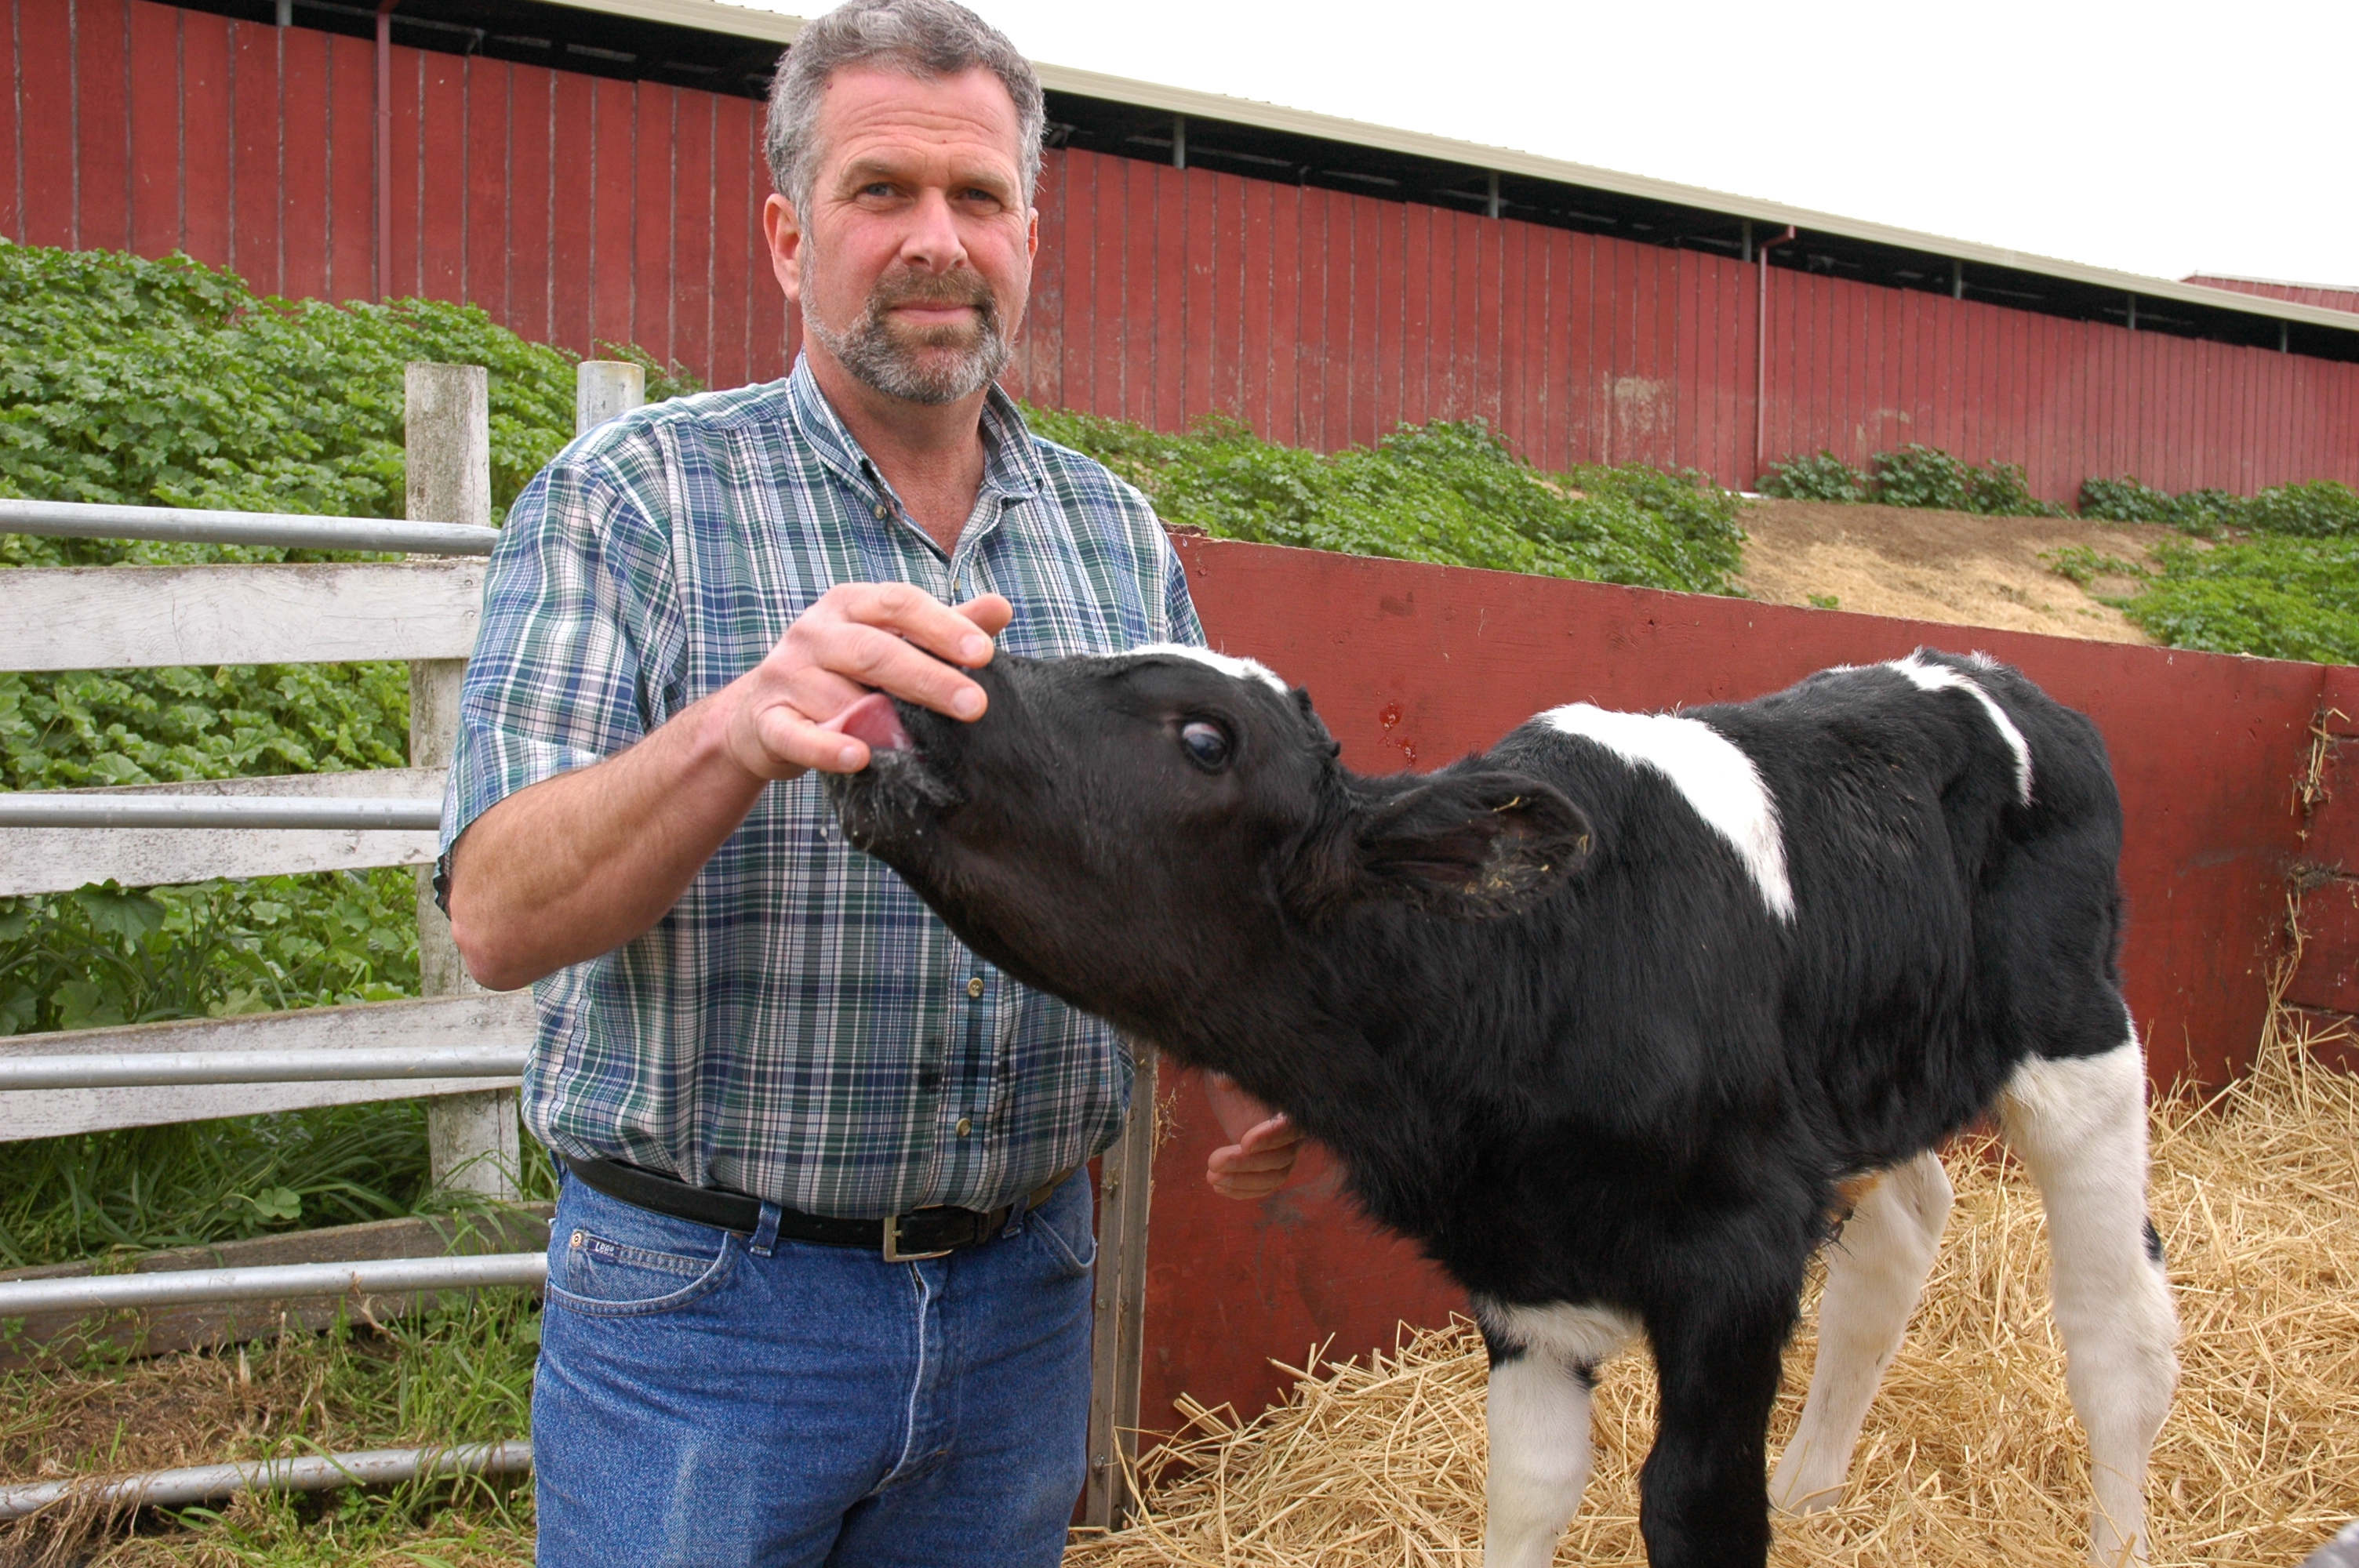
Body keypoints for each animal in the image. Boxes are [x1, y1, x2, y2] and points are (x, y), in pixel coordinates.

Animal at [825, 641, 2170, 1555]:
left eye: (1206, 739)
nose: (945, 672)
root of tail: (1989, 671)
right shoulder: (1529, 1275)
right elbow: (1529, 1493)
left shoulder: (1736, 1258)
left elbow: (1693, 1508)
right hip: (1867, 1085)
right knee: (1902, 1240)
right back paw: (1816, 1485)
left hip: (2080, 1048)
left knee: (2118, 1336)